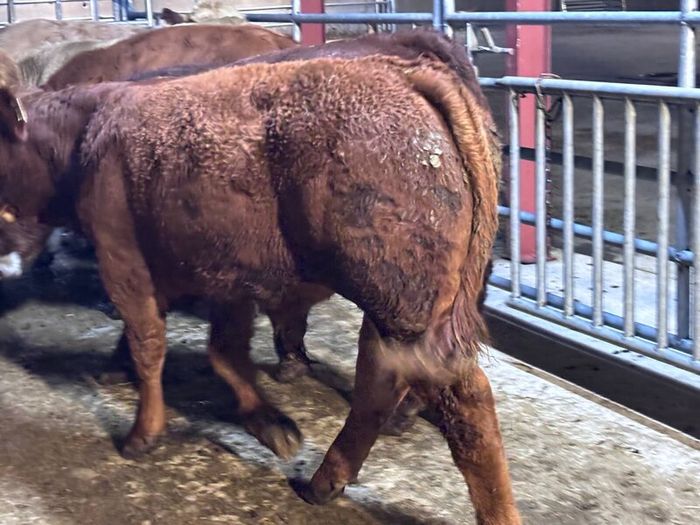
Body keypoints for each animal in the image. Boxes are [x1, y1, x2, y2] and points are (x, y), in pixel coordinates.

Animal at [0, 54, 518, 523]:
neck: (86, 131)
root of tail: (404, 72)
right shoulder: (225, 276)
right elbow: (225, 352)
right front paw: (269, 422)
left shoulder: (123, 261)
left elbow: (150, 344)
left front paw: (142, 434)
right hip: (390, 309)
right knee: (379, 379)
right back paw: (323, 482)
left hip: (405, 304)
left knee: (462, 405)